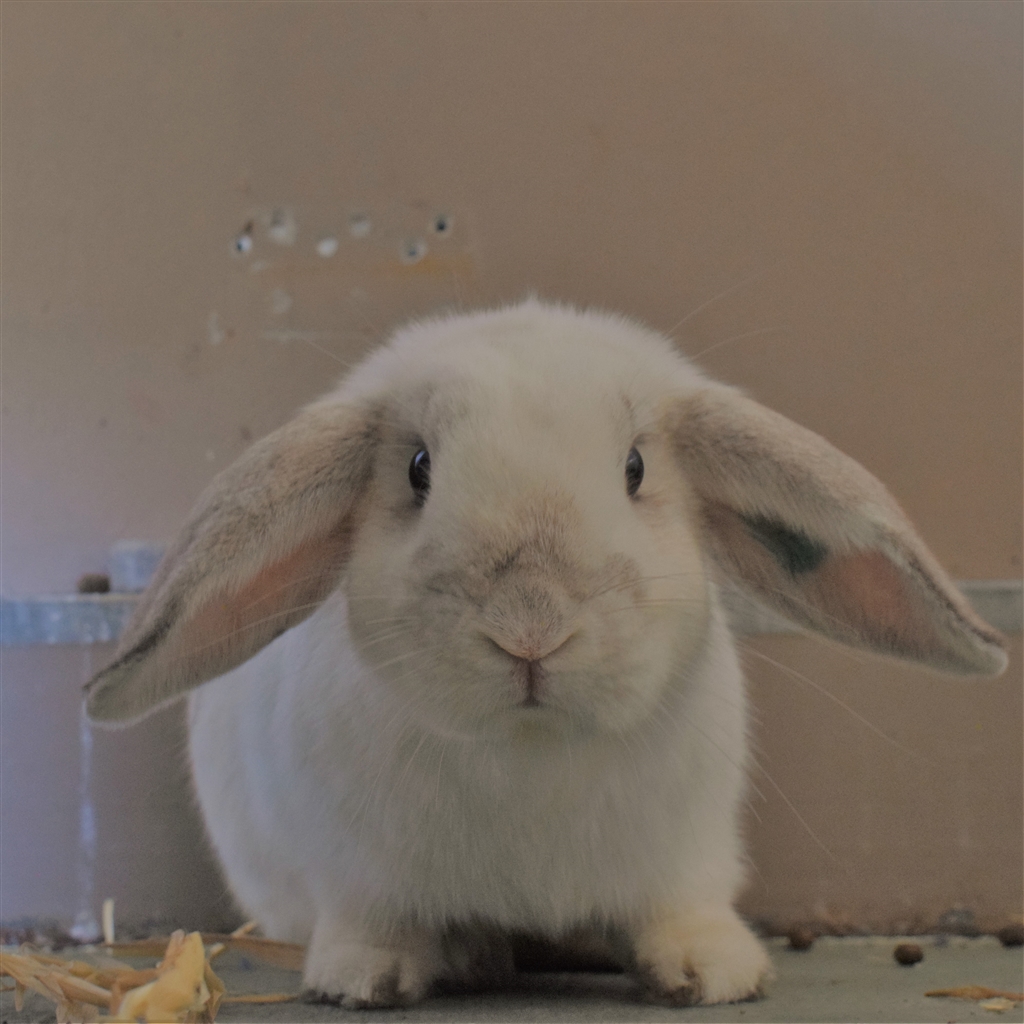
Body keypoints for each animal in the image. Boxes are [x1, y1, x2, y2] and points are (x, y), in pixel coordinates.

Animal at [85, 298, 1007, 1008]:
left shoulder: (686, 851)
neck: (530, 750)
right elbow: (375, 923)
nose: (530, 627)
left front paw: (714, 972)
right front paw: (365, 978)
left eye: (634, 468)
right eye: (418, 469)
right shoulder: (355, 871)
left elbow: (681, 908)